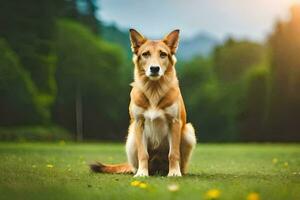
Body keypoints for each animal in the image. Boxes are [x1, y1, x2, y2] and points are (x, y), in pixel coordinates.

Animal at [90, 28, 196, 177]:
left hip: (188, 132)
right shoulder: (139, 123)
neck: (154, 91)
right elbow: (143, 154)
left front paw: (174, 172)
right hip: (131, 138)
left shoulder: (174, 122)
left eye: (163, 54)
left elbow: (173, 153)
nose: (154, 68)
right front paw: (142, 173)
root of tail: (158, 168)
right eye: (145, 54)